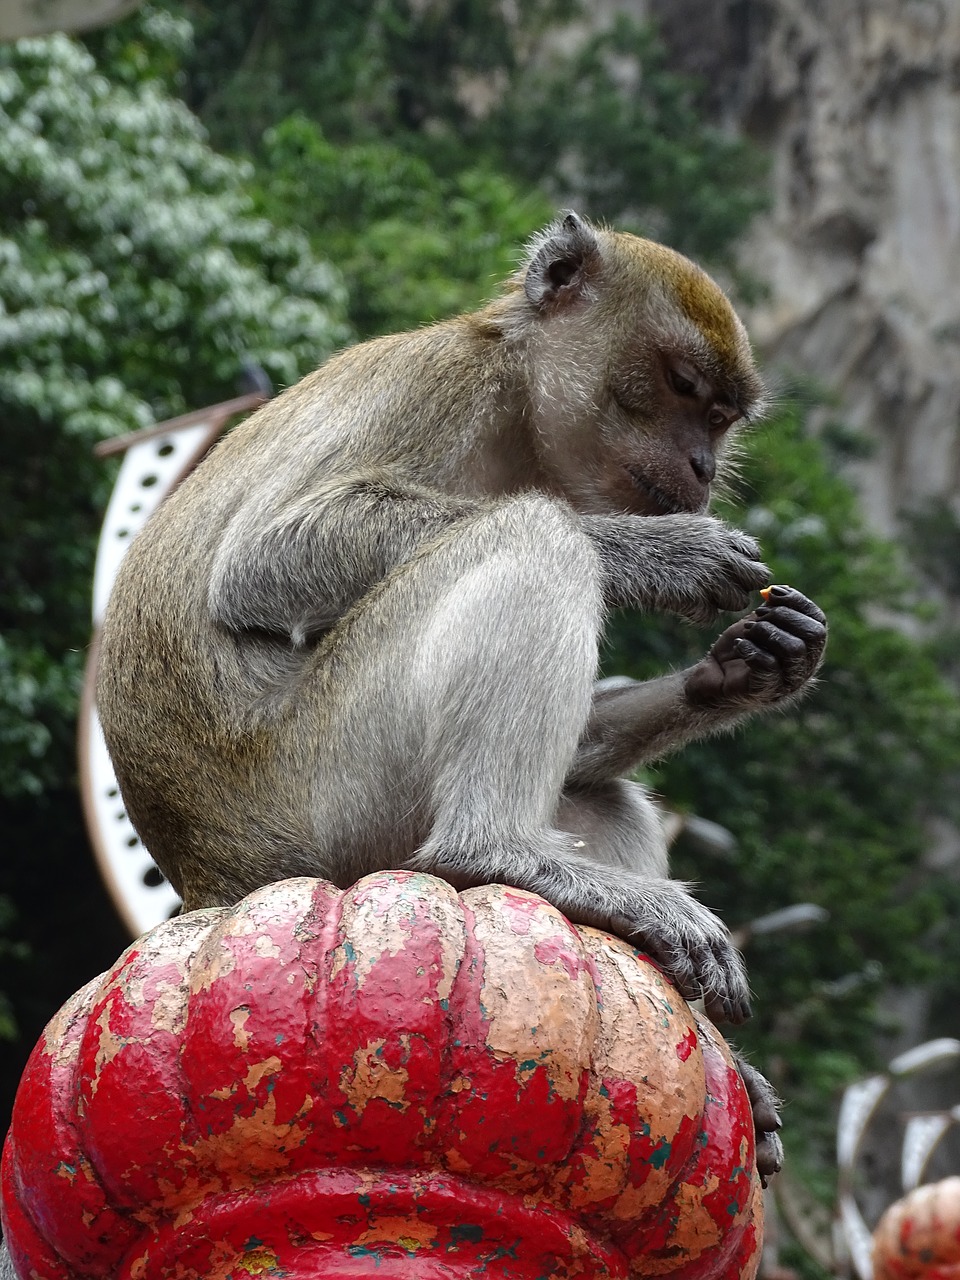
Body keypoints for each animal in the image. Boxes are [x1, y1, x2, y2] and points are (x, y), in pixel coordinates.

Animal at [99, 209, 834, 1177]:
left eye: (721, 417)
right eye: (683, 388)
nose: (705, 464)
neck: (518, 409)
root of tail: (214, 878)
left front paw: (752, 663)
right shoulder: (441, 388)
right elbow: (268, 559)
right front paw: (668, 554)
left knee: (596, 787)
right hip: (325, 785)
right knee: (535, 533)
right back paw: (500, 852)